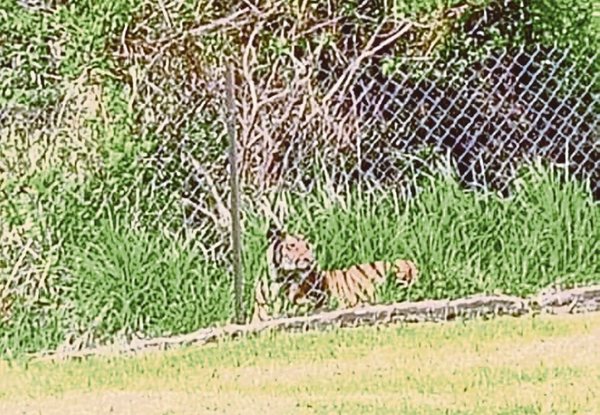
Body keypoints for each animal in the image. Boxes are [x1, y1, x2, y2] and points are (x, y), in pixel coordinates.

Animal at [251, 224, 420, 324]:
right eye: (292, 245)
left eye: (307, 246)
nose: (310, 259)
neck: (279, 279)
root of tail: (414, 265)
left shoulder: (309, 303)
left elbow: (290, 310)